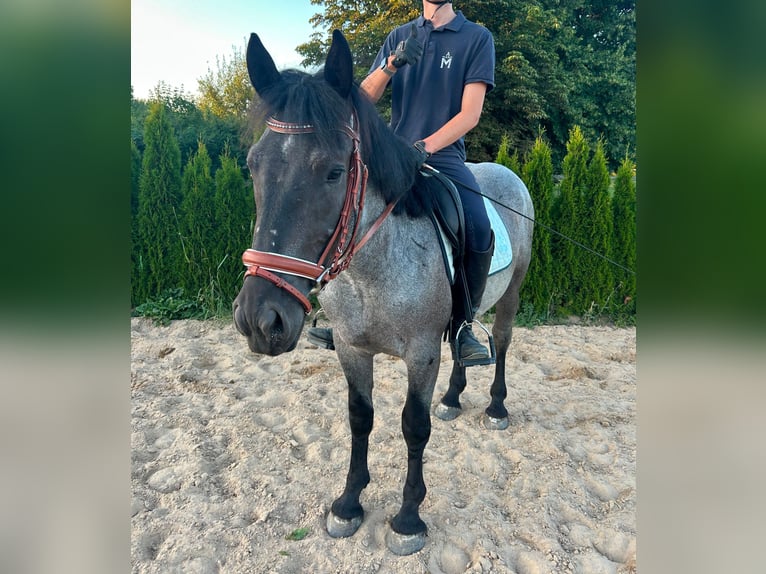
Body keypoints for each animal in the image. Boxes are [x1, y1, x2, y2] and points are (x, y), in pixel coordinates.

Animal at [233, 30, 534, 555]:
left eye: (334, 171)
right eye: (253, 165)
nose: (260, 320)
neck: (370, 271)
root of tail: (506, 173)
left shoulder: (420, 353)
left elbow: (414, 426)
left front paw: (408, 518)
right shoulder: (352, 349)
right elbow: (360, 418)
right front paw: (348, 503)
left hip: (512, 291)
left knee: (501, 341)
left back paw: (496, 406)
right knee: (462, 341)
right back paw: (453, 397)